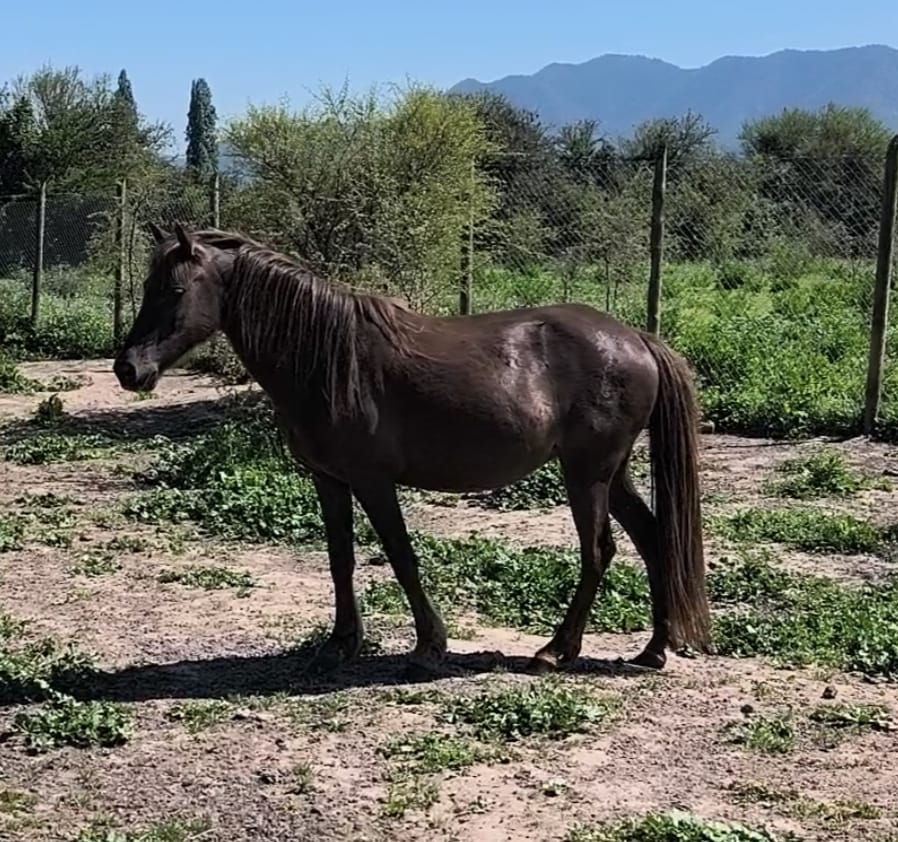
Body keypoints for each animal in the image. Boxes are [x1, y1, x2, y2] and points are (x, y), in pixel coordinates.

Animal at [113, 222, 712, 676]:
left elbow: (401, 556)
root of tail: (637, 339)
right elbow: (341, 558)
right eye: (147, 287)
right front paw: (340, 644)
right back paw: (653, 650)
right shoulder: (329, 480)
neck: (329, 358)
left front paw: (428, 646)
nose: (128, 369)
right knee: (653, 540)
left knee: (598, 551)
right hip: (611, 473)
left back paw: (555, 651)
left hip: (585, 474)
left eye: (175, 290)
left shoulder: (373, 481)